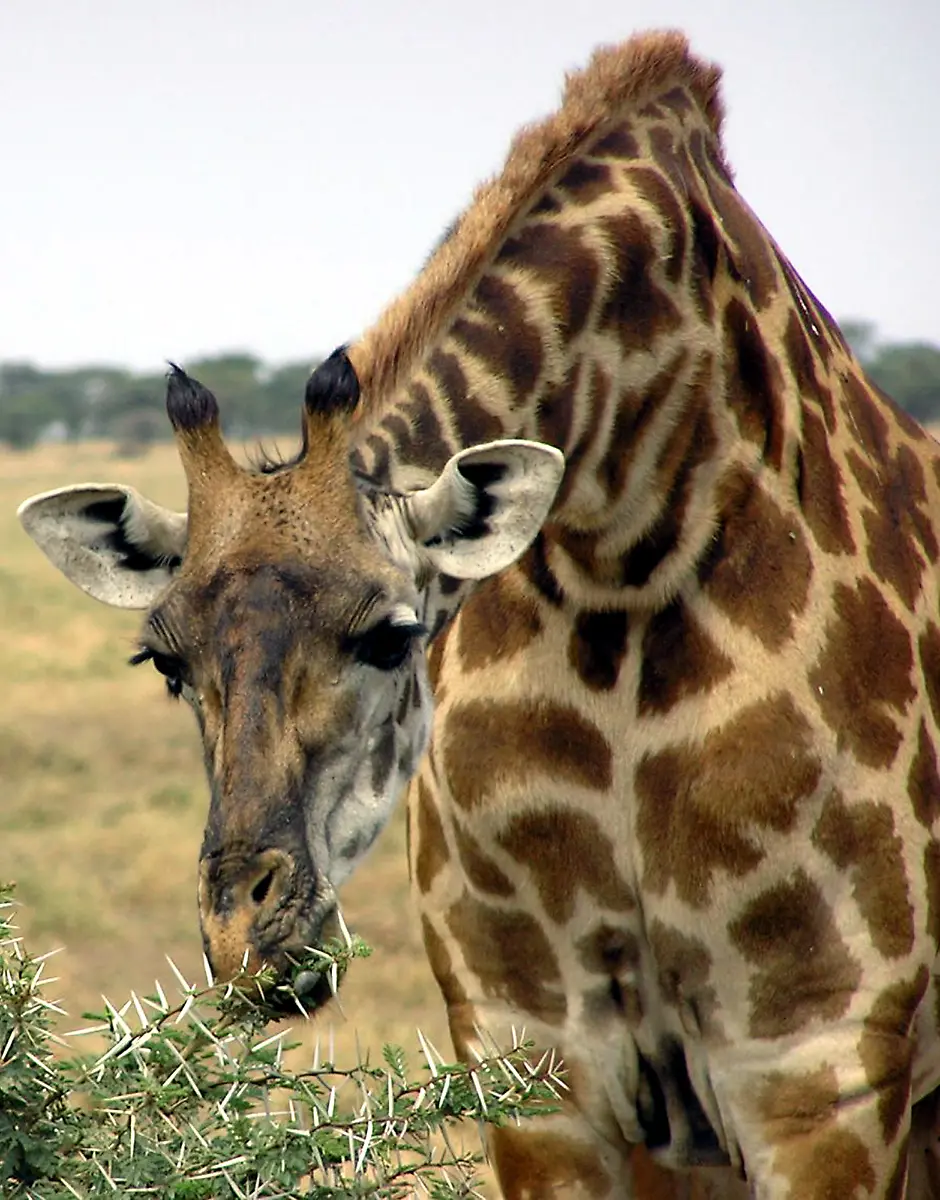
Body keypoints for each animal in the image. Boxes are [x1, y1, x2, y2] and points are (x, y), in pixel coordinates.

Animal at [17, 28, 940, 1199]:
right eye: (164, 664)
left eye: (390, 636)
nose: (242, 941)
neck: (623, 545)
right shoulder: (534, 1065)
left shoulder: (823, 1069)